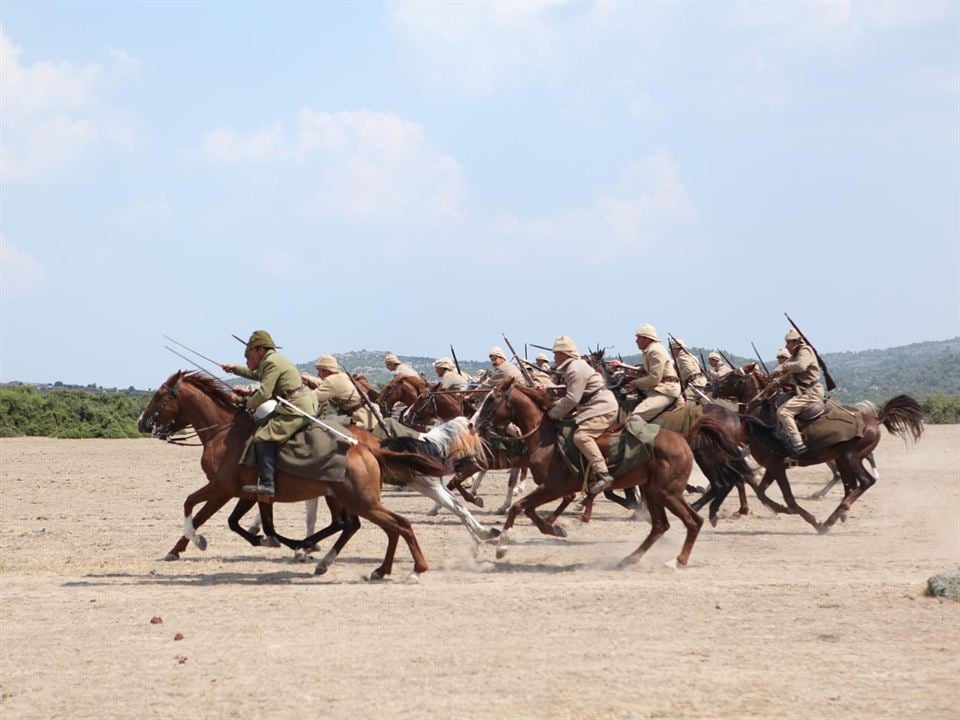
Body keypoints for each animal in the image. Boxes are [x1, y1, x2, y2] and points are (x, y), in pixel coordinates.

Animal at [137, 372, 444, 580]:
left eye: (161, 394)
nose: (142, 422)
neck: (224, 433)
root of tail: (369, 447)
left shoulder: (222, 487)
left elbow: (192, 505)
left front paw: (195, 541)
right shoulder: (244, 492)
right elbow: (228, 520)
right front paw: (179, 548)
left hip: (360, 501)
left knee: (395, 524)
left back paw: (413, 569)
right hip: (348, 499)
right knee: (366, 526)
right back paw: (364, 566)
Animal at [474, 376, 704, 568]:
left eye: (491, 399)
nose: (474, 423)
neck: (546, 438)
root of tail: (683, 440)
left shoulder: (553, 487)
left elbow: (518, 507)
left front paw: (502, 546)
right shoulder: (550, 488)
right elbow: (528, 510)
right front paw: (555, 529)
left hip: (667, 492)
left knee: (693, 522)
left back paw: (677, 561)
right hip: (653, 491)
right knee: (660, 525)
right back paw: (630, 558)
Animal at [700, 366, 928, 536]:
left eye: (733, 374)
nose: (710, 385)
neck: (759, 420)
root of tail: (875, 420)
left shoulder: (776, 466)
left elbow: (787, 499)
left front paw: (808, 519)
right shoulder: (771, 466)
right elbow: (763, 493)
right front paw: (779, 510)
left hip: (851, 458)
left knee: (865, 482)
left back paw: (833, 516)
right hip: (843, 460)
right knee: (850, 486)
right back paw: (837, 515)